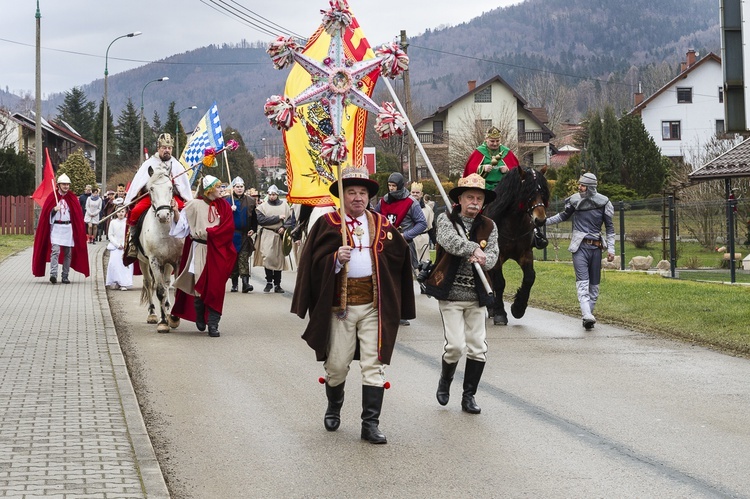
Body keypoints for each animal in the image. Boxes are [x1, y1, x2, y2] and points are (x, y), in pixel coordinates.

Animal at [138, 164, 185, 334]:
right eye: (151, 189)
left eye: (171, 187)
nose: (164, 215)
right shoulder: (155, 261)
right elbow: (159, 290)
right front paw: (164, 322)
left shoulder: (177, 260)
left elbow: (176, 289)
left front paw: (174, 318)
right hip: (143, 262)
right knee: (149, 283)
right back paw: (153, 314)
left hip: (168, 264)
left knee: (165, 283)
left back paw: (168, 309)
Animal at [484, 166, 548, 326]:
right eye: (528, 192)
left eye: (543, 192)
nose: (540, 220)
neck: (514, 224)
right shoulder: (498, 256)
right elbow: (500, 283)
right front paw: (500, 313)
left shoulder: (525, 253)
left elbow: (529, 277)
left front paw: (518, 308)